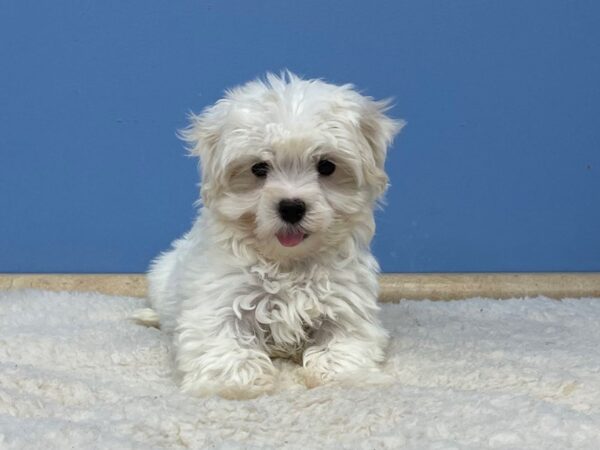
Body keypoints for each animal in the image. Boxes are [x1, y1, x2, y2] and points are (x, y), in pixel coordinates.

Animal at [136, 71, 404, 398]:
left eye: (326, 166)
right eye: (258, 168)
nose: (291, 207)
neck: (287, 263)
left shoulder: (345, 300)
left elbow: (345, 342)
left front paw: (349, 379)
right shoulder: (220, 296)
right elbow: (223, 341)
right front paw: (232, 386)